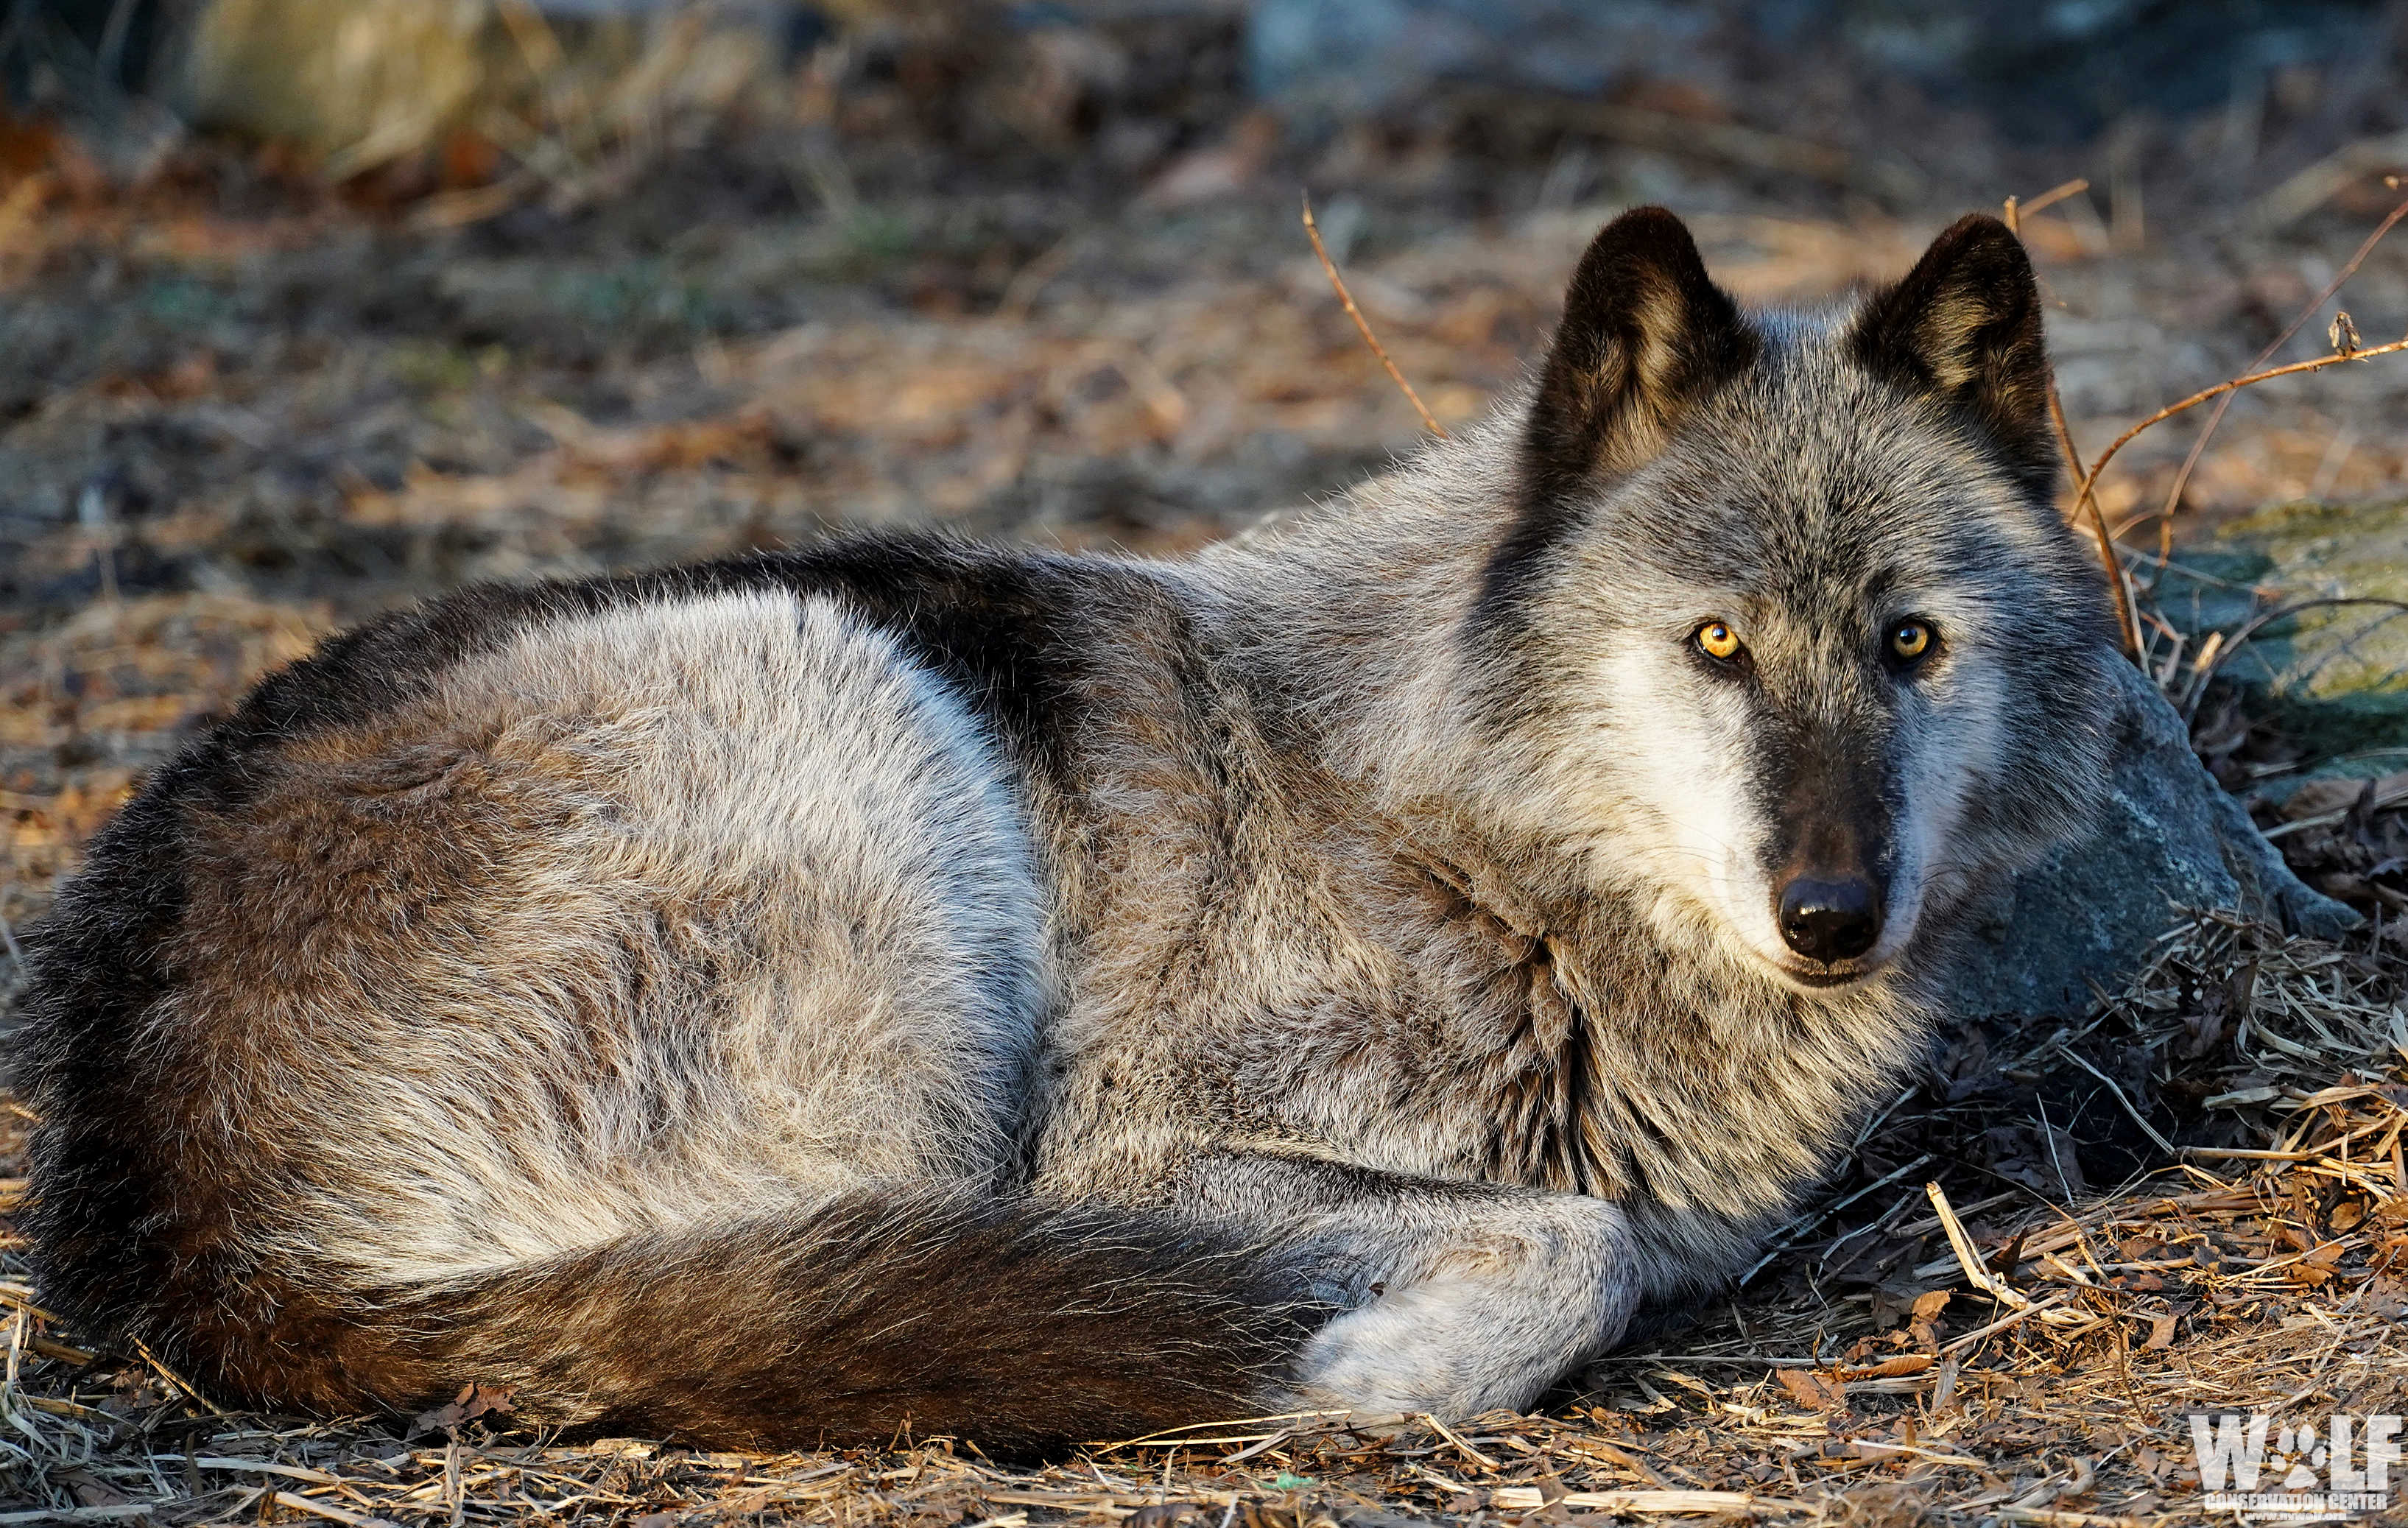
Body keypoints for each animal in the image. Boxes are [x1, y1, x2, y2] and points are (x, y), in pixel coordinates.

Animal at [13, 208, 2120, 1455]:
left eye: (1910, 642)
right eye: (1717, 643)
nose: (1832, 909)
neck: (1463, 833)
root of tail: (181, 1210)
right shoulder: (1129, 1149)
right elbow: (1576, 1226)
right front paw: (1380, 1376)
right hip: (850, 720)